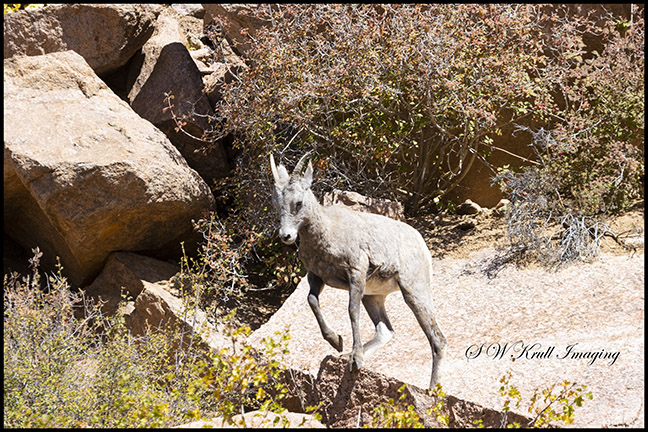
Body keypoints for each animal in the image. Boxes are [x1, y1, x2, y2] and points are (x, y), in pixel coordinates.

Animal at [270, 154, 446, 387]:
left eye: (298, 203)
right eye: (276, 203)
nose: (286, 236)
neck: (327, 232)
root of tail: (422, 244)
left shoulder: (356, 273)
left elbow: (352, 311)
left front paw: (356, 356)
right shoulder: (317, 277)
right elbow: (312, 301)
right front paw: (337, 342)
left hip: (413, 291)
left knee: (438, 339)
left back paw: (432, 389)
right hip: (373, 297)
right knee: (385, 331)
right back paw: (347, 356)